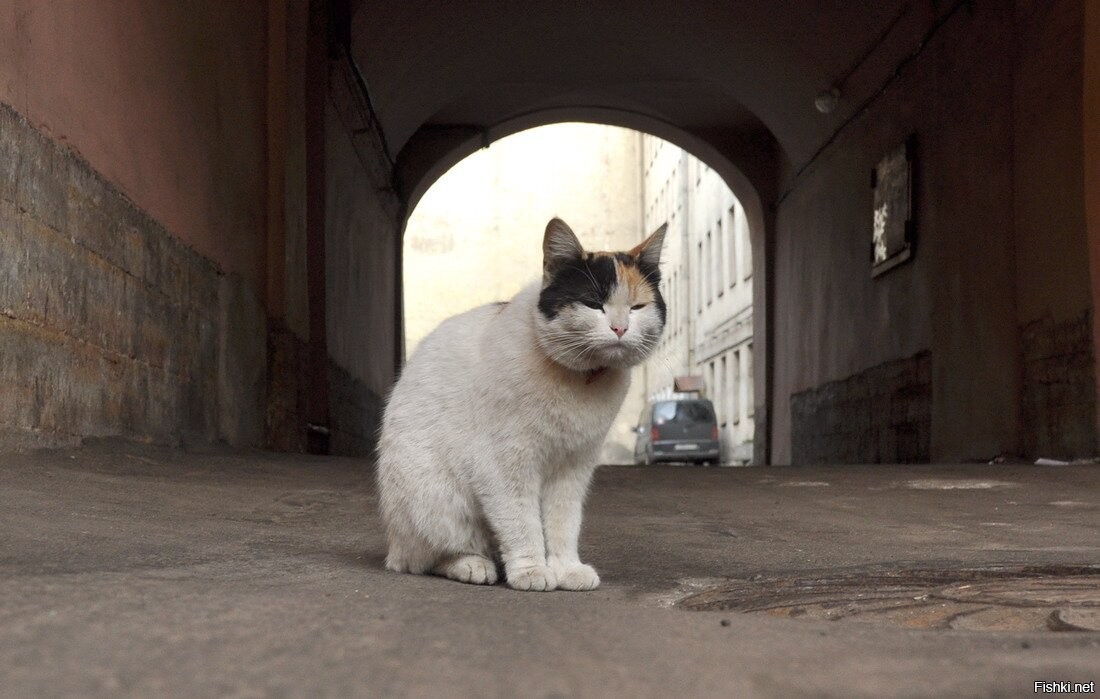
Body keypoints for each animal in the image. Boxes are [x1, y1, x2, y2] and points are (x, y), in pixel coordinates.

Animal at [378, 217, 664, 590]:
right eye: (593, 304)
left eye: (637, 307)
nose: (620, 328)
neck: (581, 380)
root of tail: (393, 546)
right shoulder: (505, 465)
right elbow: (521, 522)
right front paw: (531, 571)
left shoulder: (573, 467)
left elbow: (563, 523)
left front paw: (566, 569)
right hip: (435, 499)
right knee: (428, 557)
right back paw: (472, 565)